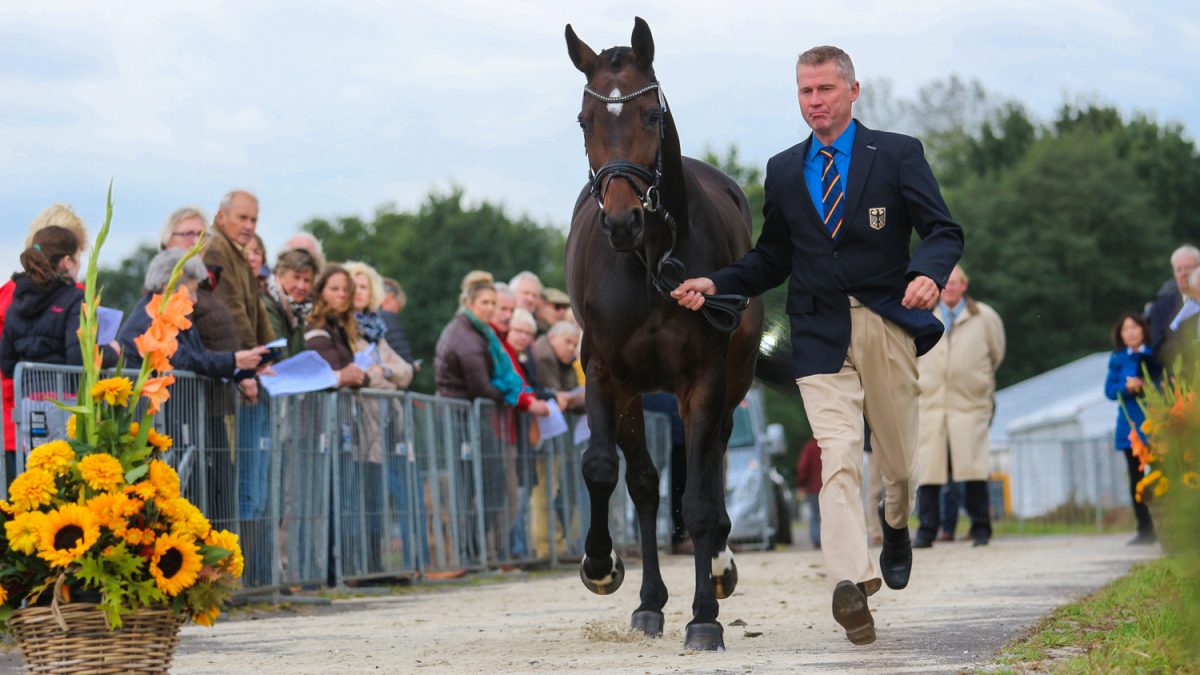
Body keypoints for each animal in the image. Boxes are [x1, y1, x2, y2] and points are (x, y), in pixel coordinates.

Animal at [564, 15, 768, 648]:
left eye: (650, 115)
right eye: (585, 119)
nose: (621, 220)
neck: (651, 261)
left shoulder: (702, 378)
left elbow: (697, 498)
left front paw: (704, 617)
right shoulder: (607, 372)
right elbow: (608, 470)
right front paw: (602, 566)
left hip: (728, 382)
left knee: (712, 466)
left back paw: (719, 569)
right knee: (647, 485)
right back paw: (650, 601)